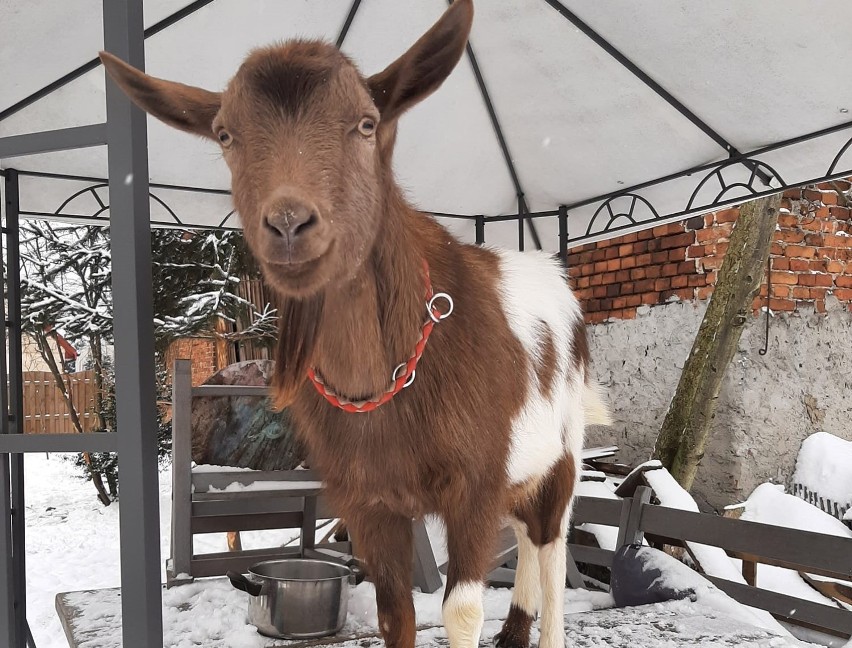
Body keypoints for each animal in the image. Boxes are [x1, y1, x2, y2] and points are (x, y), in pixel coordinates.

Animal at [103, 2, 608, 644]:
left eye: (367, 124)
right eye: (224, 134)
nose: (289, 224)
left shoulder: (473, 483)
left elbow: (461, 609)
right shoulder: (367, 500)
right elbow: (396, 612)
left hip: (564, 447)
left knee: (550, 539)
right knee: (522, 530)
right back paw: (515, 628)